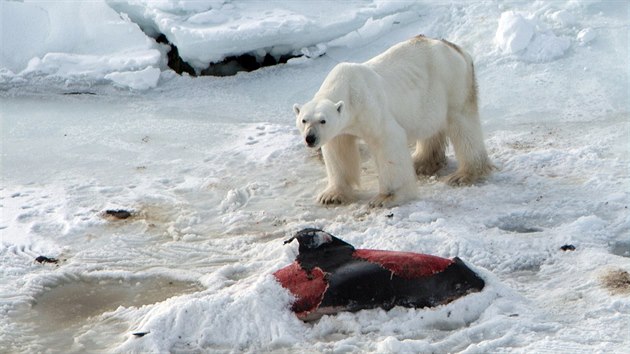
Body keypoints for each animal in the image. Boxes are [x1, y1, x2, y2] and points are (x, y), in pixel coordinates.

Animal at [294, 35, 496, 207]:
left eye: (323, 120)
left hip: (452, 83)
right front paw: (331, 196)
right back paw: (421, 162)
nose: (310, 138)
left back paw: (463, 174)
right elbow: (338, 150)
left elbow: (387, 141)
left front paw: (386, 198)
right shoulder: (341, 129)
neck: (347, 88)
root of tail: (456, 48)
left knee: (463, 125)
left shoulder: (369, 108)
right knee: (429, 126)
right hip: (428, 99)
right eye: (304, 120)